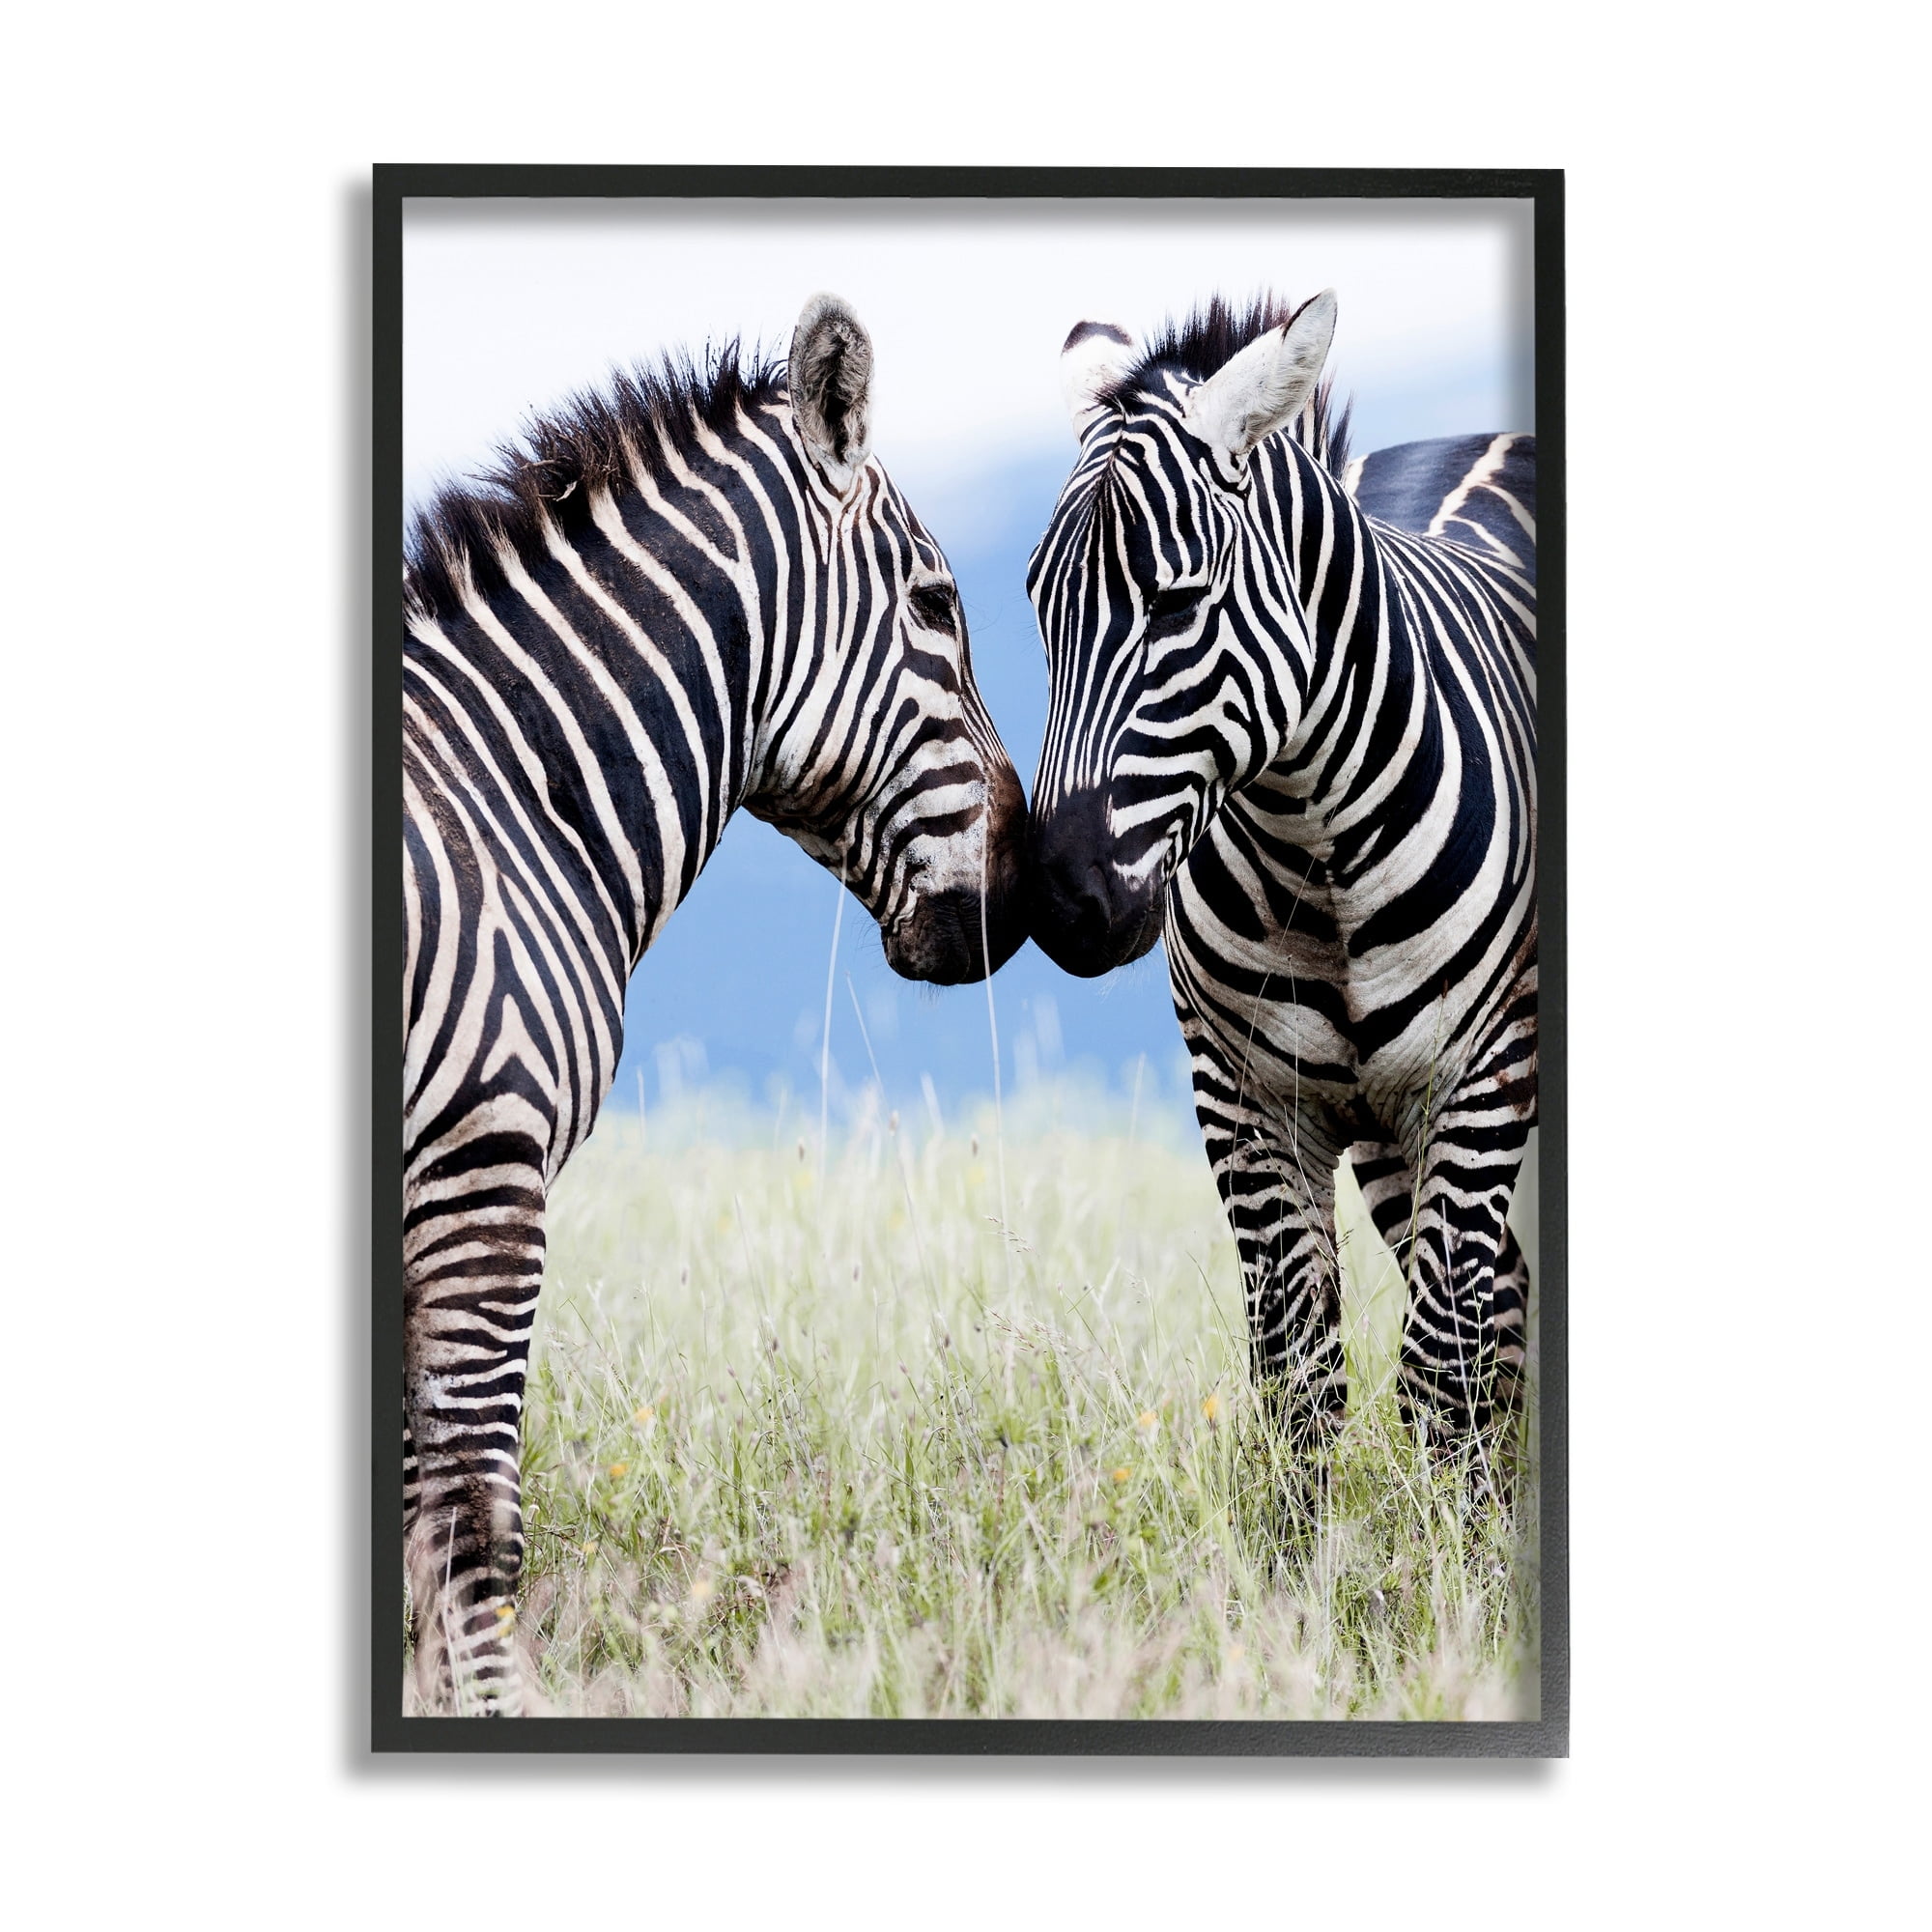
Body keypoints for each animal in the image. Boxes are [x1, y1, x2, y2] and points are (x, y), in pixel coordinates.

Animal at [1026, 292, 1536, 1483]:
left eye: (1176, 605)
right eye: (1037, 608)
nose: (1059, 902)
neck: (1311, 841)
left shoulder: (1479, 1075)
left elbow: (1436, 1378)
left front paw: (1448, 1538)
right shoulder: (1246, 1098)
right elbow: (1298, 1381)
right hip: (1385, 1131)